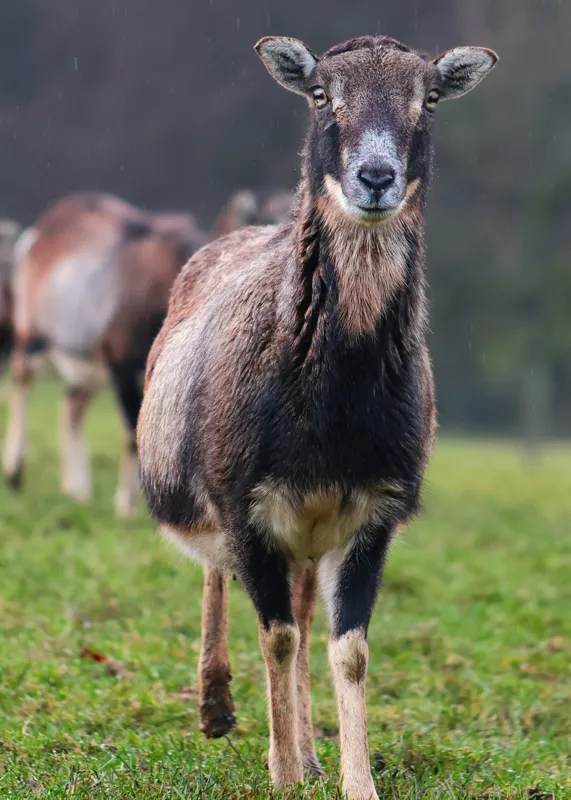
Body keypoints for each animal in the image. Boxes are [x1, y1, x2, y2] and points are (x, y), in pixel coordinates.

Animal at [3, 192, 205, 515]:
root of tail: (37, 235)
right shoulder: (123, 366)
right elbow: (132, 435)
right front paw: (126, 508)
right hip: (32, 339)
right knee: (23, 382)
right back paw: (15, 474)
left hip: (87, 369)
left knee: (71, 407)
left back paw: (78, 492)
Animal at [137, 35, 497, 798]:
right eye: (322, 96)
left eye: (428, 99)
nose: (375, 176)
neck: (332, 411)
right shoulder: (244, 503)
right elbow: (274, 635)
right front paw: (279, 773)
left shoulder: (371, 512)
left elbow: (347, 649)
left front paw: (349, 779)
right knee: (226, 582)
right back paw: (217, 710)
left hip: (307, 533)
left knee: (305, 617)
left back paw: (306, 750)